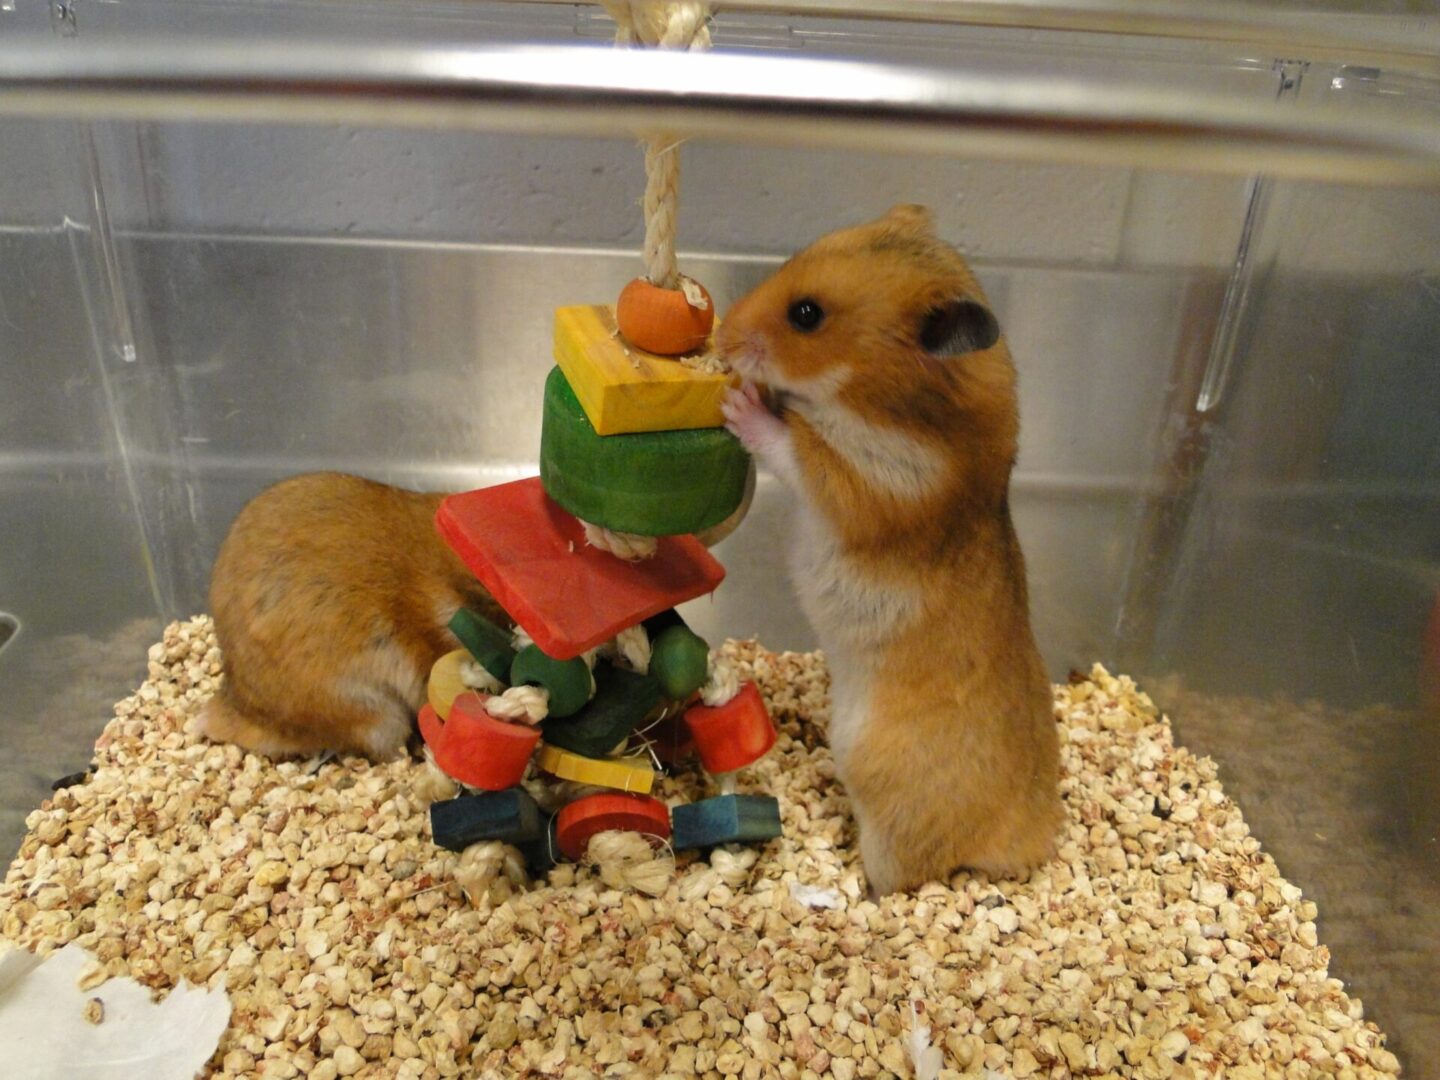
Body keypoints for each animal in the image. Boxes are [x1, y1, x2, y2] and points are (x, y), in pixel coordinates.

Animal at [717, 203, 1059, 898]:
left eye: (806, 314)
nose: (721, 336)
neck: (888, 398)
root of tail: (1028, 843)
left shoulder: (868, 481)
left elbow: (792, 446)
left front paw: (741, 400)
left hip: (889, 802)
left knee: (901, 876)